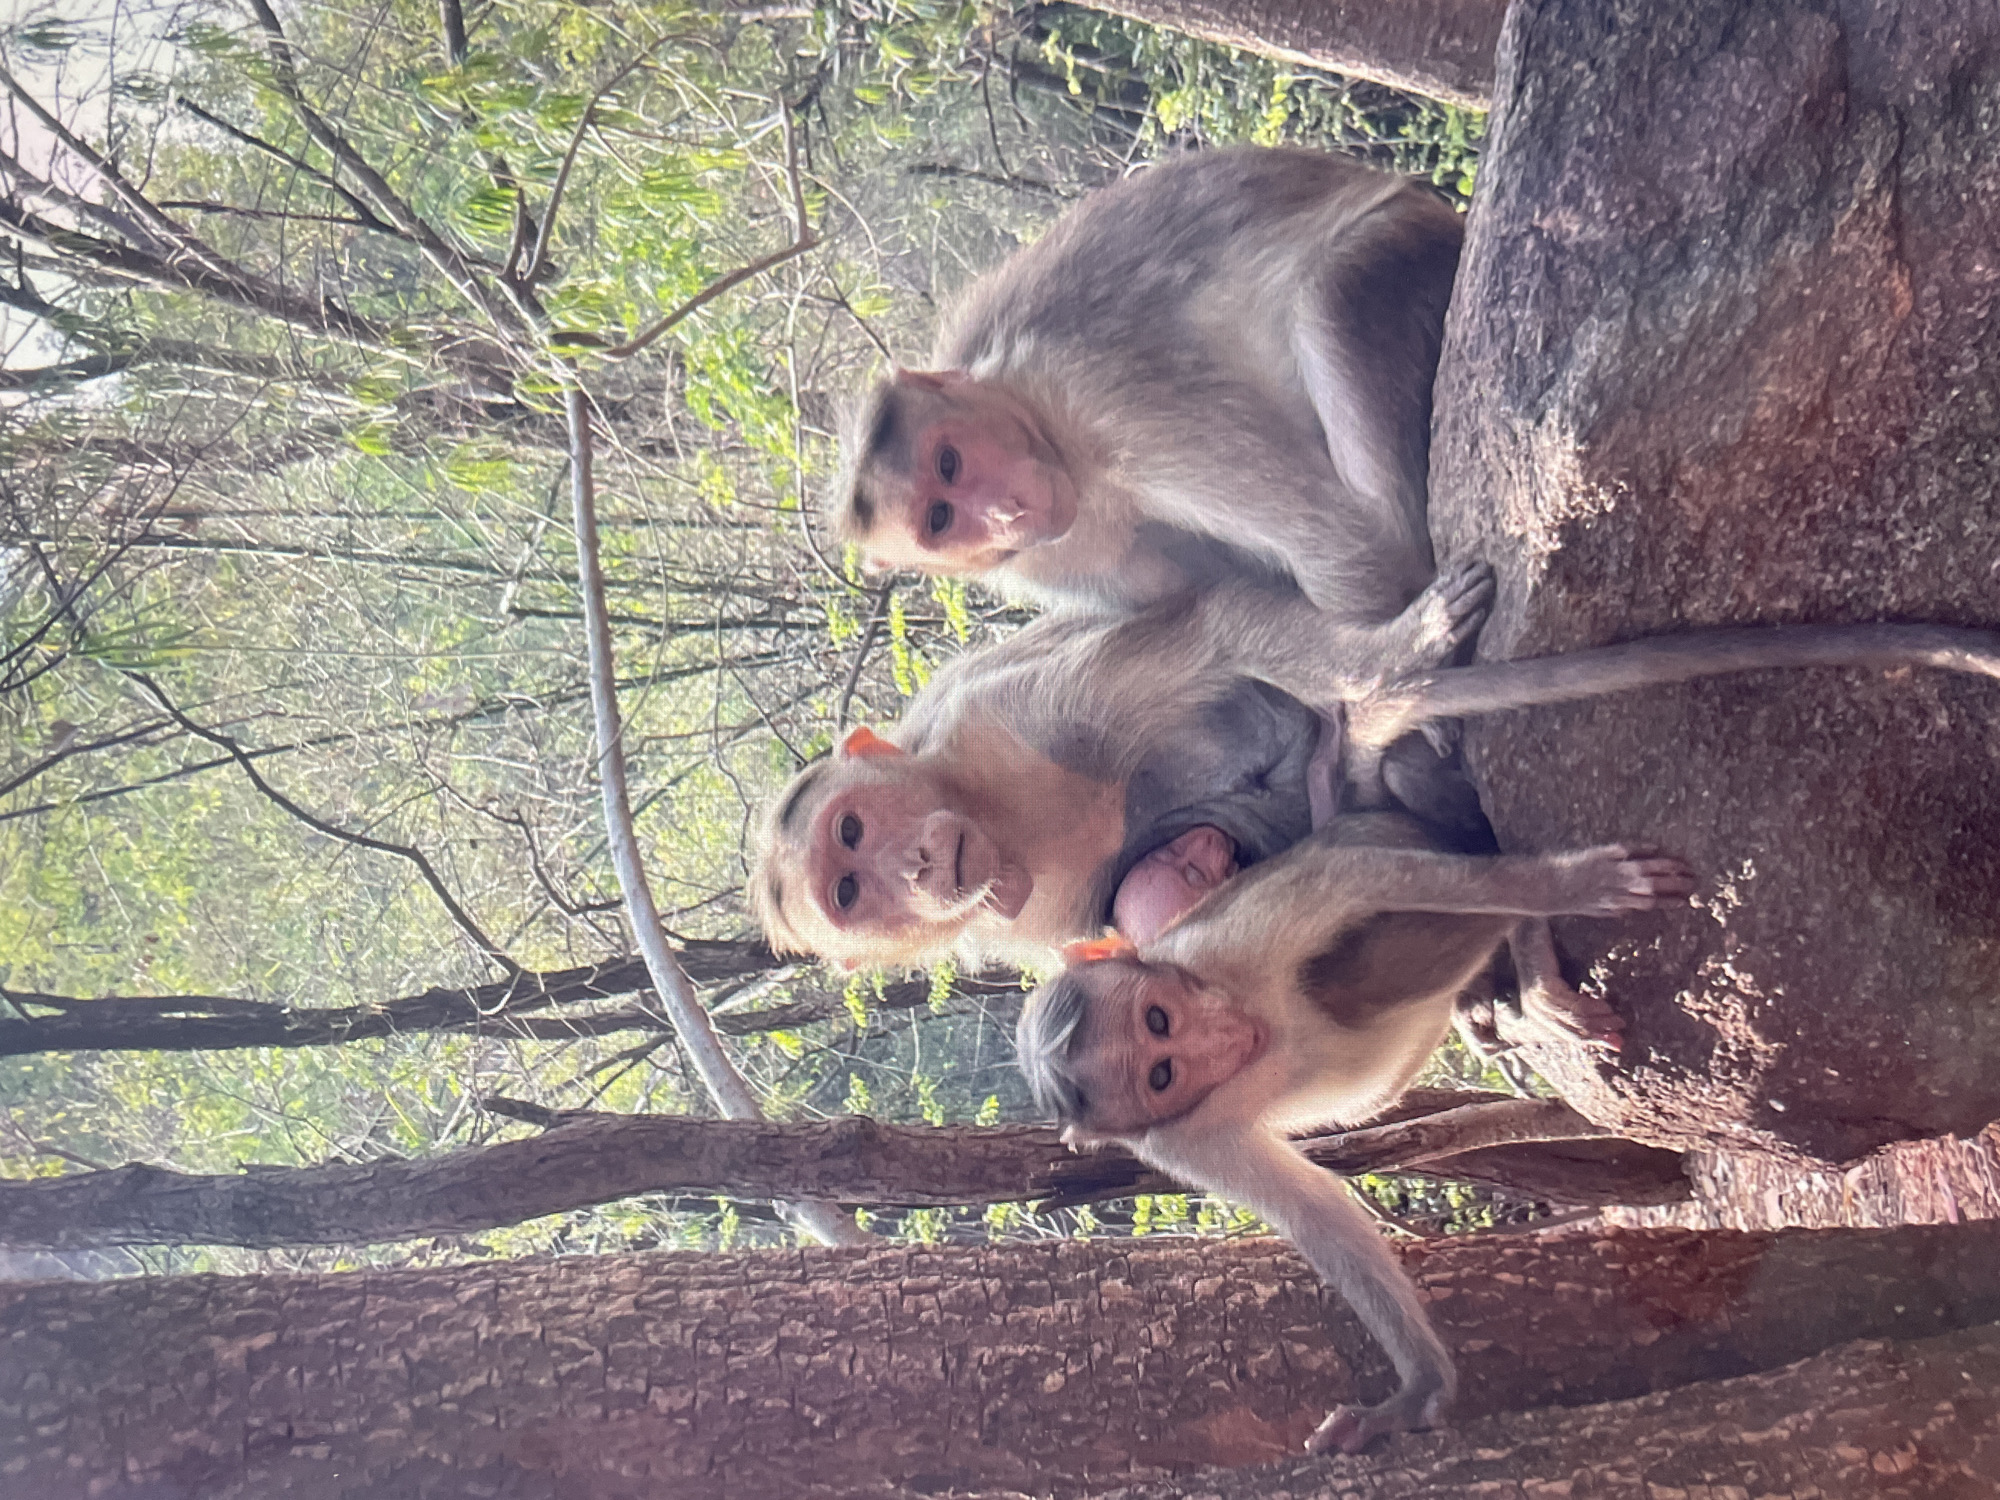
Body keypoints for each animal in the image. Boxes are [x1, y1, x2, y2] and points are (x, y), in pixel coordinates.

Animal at [834, 147, 1490, 702]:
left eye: (949, 461)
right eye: (939, 519)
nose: (1005, 513)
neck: (1046, 425)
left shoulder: (1108, 393)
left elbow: (1344, 540)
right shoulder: (1063, 563)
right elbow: (1209, 609)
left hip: (1404, 254)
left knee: (1331, 293)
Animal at [1015, 814, 1700, 1453]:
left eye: (1158, 1020)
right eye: (1163, 1074)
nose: (1229, 1038)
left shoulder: (1218, 946)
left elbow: (1352, 877)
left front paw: (1573, 885)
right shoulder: (1180, 1140)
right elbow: (1314, 1211)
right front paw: (1416, 1394)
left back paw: (1531, 968)